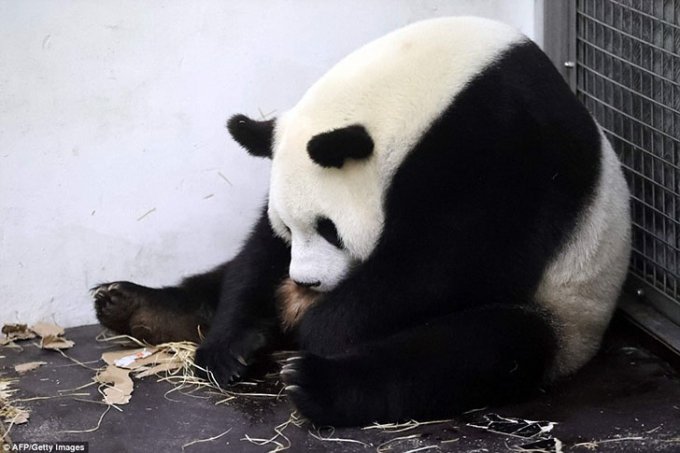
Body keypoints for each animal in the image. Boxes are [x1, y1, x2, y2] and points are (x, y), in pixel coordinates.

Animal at [91, 17, 632, 426]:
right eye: (290, 228)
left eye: (329, 228)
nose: (305, 282)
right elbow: (257, 256)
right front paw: (234, 343)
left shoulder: (507, 143)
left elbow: (449, 259)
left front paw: (320, 327)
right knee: (218, 279)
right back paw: (133, 305)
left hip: (565, 311)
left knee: (476, 350)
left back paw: (314, 383)